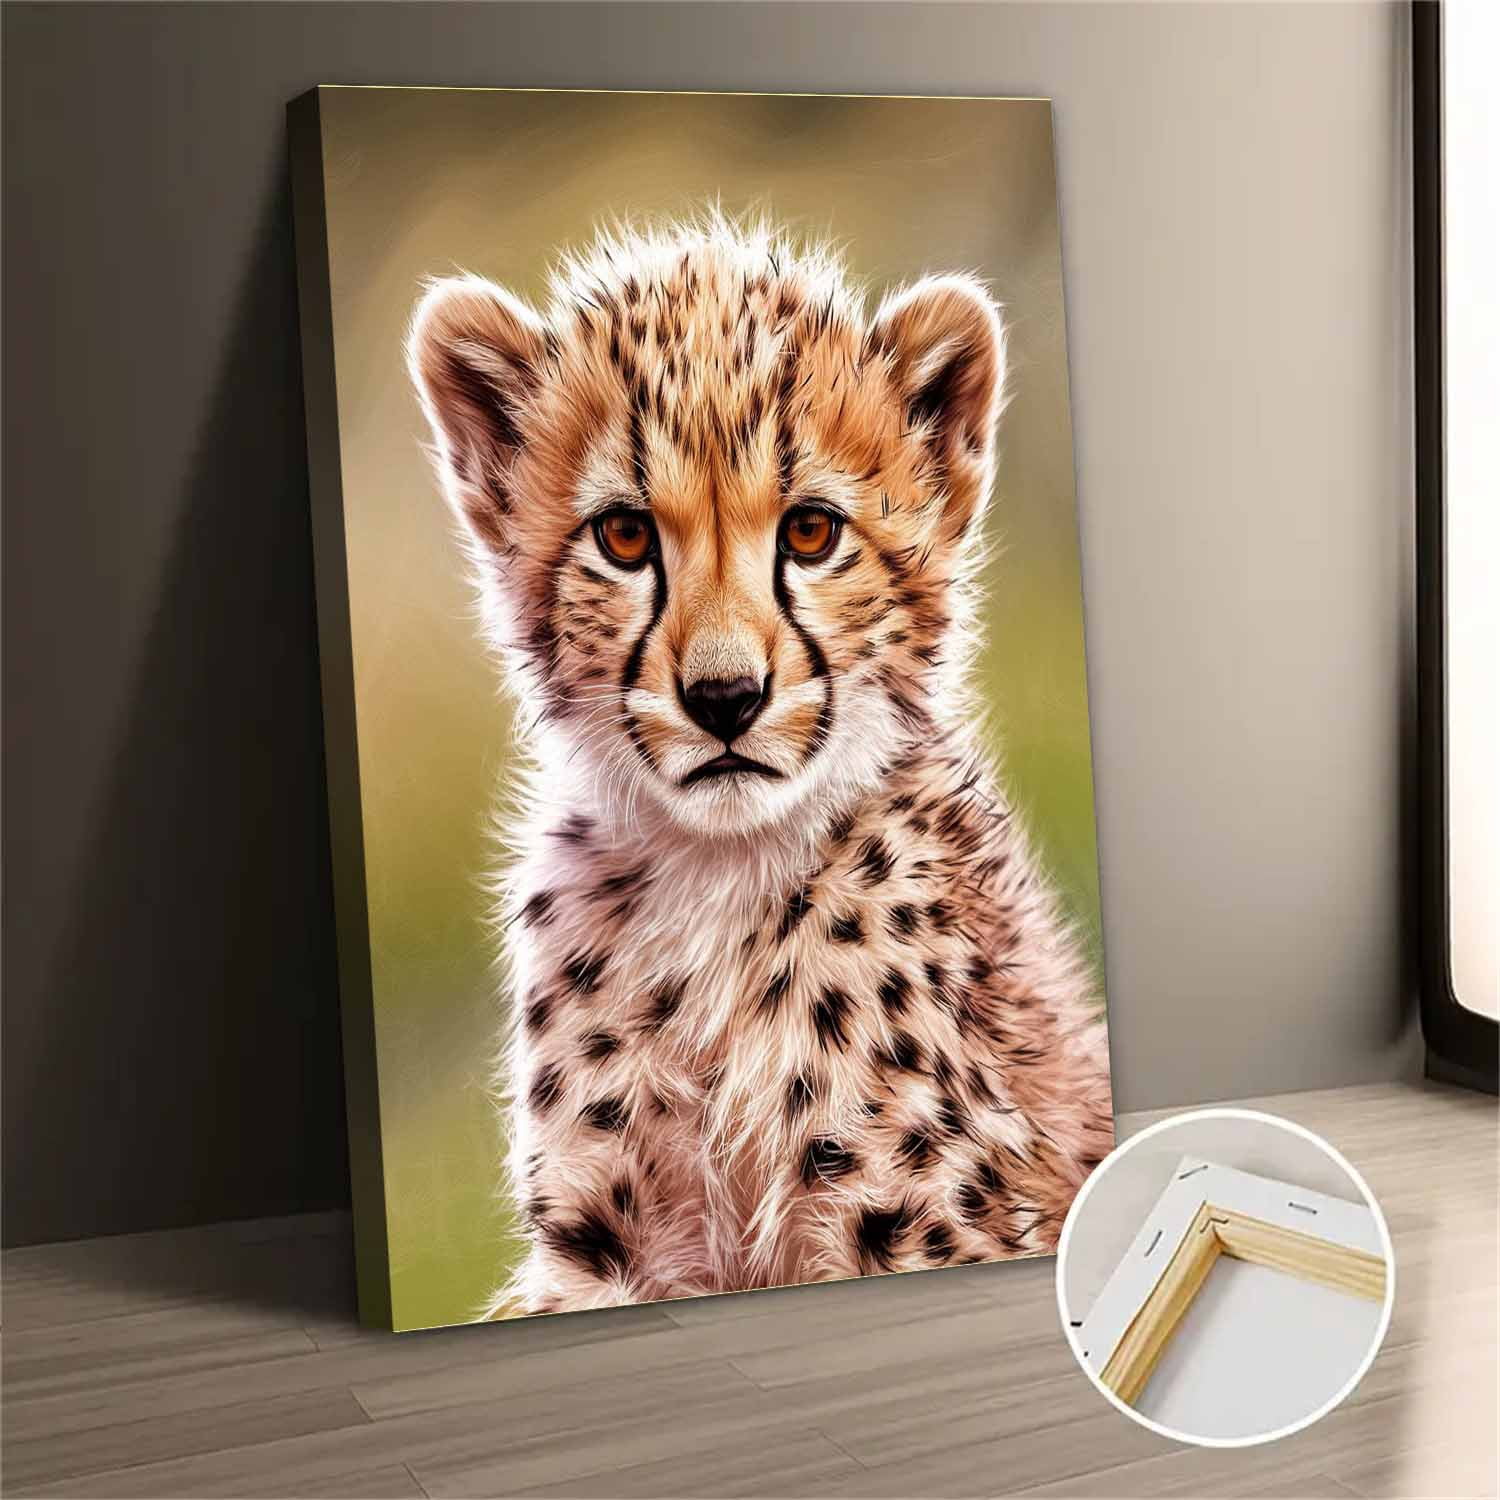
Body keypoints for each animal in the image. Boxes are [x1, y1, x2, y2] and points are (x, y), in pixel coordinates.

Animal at [407, 216, 1114, 1317]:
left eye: (812, 531)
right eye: (624, 536)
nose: (725, 696)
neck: (714, 882)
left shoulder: (921, 1222)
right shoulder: (598, 1249)